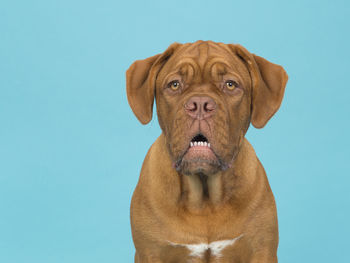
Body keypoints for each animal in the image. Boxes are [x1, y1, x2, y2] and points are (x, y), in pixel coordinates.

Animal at [126, 40, 288, 262]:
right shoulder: (151, 252)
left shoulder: (261, 250)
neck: (205, 199)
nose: (200, 104)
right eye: (174, 85)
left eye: (230, 84)